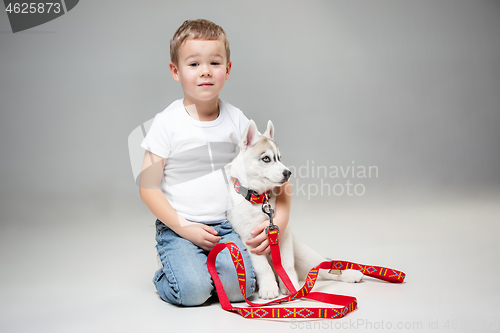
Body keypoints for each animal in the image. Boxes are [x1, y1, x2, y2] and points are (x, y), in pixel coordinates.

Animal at [228, 119, 364, 298]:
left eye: (279, 158)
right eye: (266, 159)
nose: (288, 173)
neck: (259, 200)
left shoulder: (282, 234)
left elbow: (286, 264)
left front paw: (290, 285)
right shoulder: (249, 241)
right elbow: (263, 267)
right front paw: (269, 288)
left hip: (303, 253)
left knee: (323, 266)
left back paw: (349, 274)